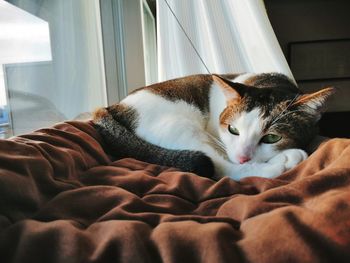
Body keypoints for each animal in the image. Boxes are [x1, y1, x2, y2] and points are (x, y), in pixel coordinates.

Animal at [93, 73, 334, 182]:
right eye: (233, 130)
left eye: (272, 138)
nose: (243, 157)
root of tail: (114, 106)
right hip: (180, 127)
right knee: (223, 168)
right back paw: (281, 163)